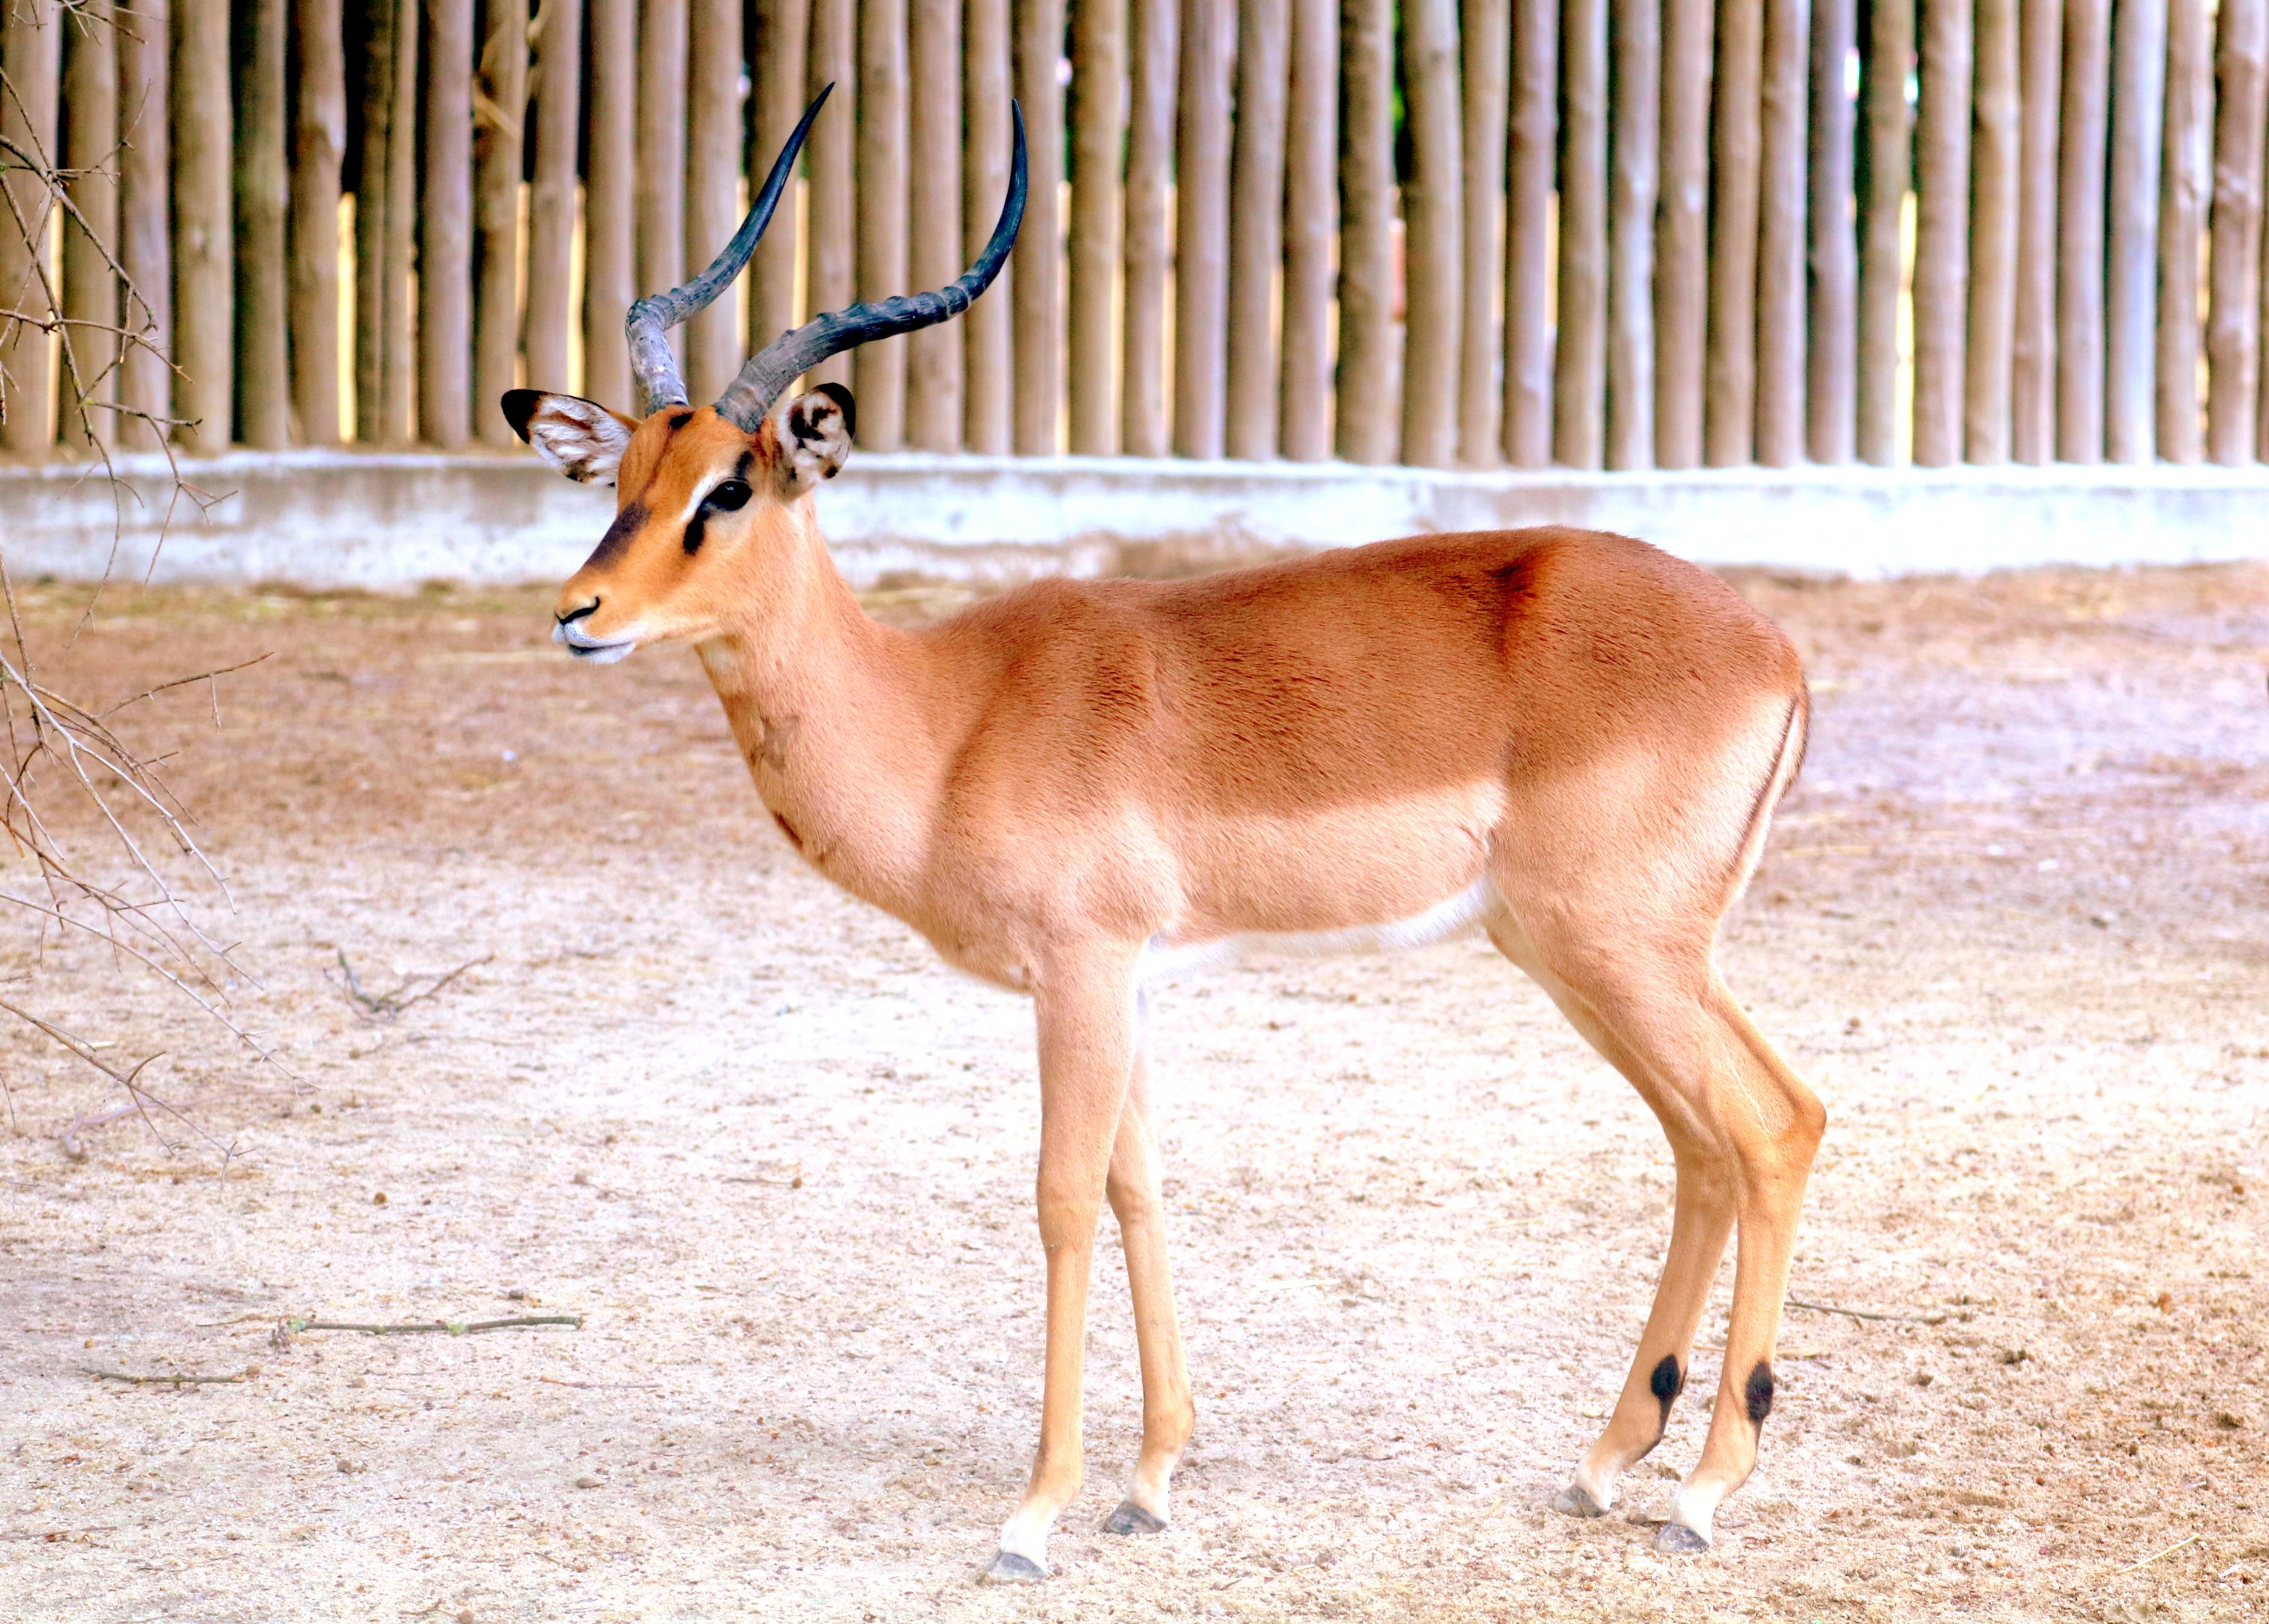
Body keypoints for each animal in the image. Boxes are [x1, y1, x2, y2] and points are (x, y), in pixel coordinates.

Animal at [502, 91, 1824, 1579]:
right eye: (623, 471)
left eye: (727, 488)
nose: (579, 612)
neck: (947, 719)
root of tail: (1772, 651)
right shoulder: (1129, 979)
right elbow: (1141, 1186)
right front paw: (1149, 1479)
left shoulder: (1077, 972)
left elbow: (1062, 1197)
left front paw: (1034, 1516)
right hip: (1586, 956)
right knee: (1706, 1143)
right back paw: (1606, 1465)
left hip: (1618, 949)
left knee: (1772, 1125)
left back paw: (1703, 1493)